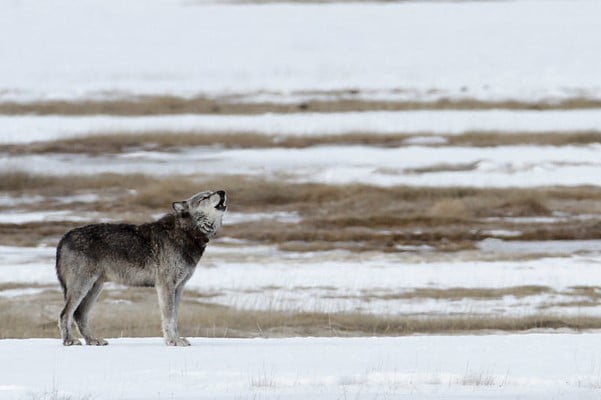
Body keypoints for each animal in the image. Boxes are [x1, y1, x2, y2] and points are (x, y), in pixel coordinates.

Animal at [56, 189, 226, 346]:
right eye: (205, 197)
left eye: (212, 192)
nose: (222, 192)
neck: (185, 232)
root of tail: (64, 237)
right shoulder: (166, 286)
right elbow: (169, 318)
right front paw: (172, 341)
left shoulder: (179, 287)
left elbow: (175, 318)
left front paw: (177, 339)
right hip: (82, 287)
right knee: (65, 314)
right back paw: (69, 340)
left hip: (94, 288)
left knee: (79, 314)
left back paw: (93, 340)